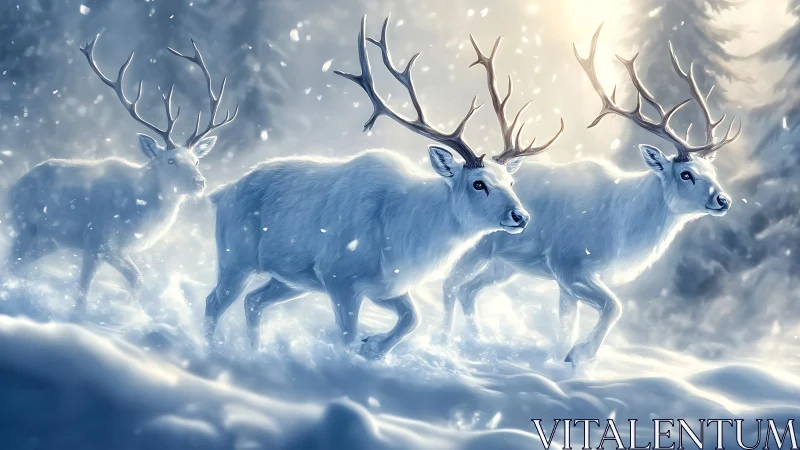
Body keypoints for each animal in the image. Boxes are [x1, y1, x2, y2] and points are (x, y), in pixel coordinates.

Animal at [6, 35, 237, 310]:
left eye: (197, 161)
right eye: (170, 161)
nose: (199, 182)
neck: (139, 212)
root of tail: (12, 188)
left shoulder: (116, 249)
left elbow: (137, 279)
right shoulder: (95, 239)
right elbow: (84, 290)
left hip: (48, 241)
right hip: (25, 227)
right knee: (11, 261)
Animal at [203, 15, 564, 359]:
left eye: (511, 181)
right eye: (478, 183)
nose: (520, 216)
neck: (405, 234)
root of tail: (220, 193)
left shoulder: (386, 284)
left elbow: (412, 318)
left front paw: (374, 346)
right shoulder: (338, 275)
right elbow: (346, 338)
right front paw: (359, 353)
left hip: (291, 278)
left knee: (253, 302)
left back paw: (256, 351)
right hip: (236, 257)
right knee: (214, 302)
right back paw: (211, 350)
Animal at [440, 25, 742, 367]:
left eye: (711, 170)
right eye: (686, 174)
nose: (723, 200)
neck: (623, 228)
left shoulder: (564, 277)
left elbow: (567, 325)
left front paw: (562, 359)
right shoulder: (567, 261)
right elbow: (613, 307)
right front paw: (578, 355)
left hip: (504, 264)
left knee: (469, 290)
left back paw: (476, 339)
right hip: (476, 246)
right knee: (449, 283)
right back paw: (445, 340)